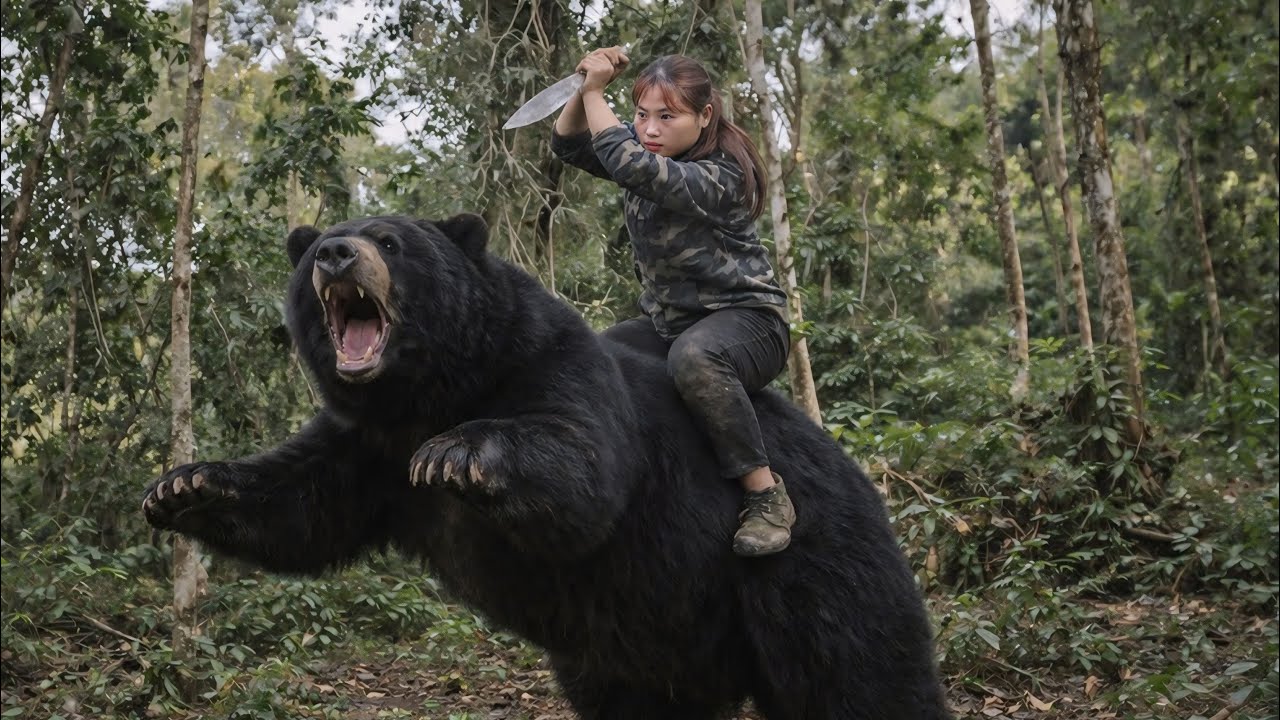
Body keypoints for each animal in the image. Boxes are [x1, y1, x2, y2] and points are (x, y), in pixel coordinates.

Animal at [142, 214, 952, 720]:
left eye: (389, 240)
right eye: (321, 244)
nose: (334, 256)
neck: (427, 393)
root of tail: (855, 472)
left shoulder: (546, 363)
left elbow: (580, 470)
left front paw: (457, 454)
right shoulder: (361, 443)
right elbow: (299, 505)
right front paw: (183, 485)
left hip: (802, 566)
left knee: (859, 673)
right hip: (640, 639)